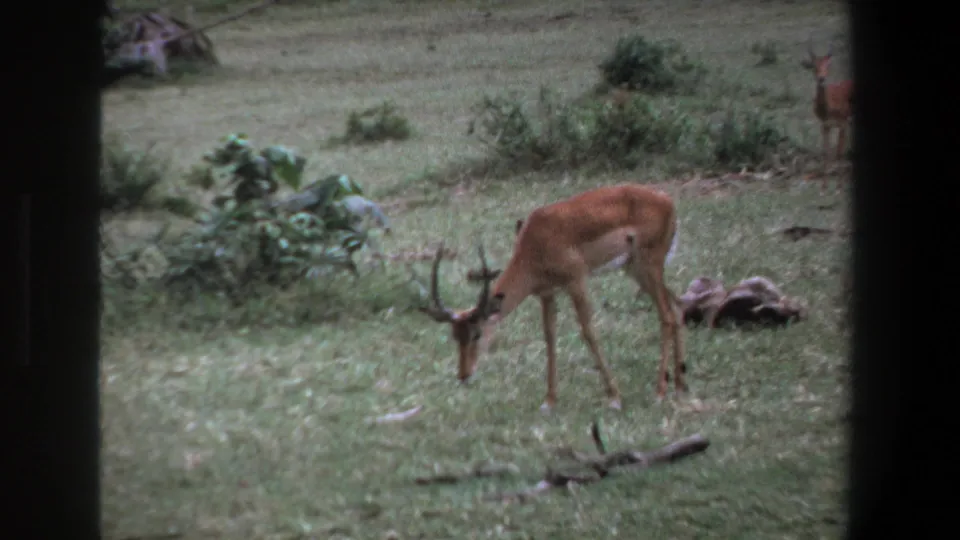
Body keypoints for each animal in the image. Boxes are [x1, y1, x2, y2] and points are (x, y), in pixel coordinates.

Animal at [419, 184, 686, 411]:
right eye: (455, 336)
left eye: (476, 334)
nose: (464, 375)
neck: (534, 243)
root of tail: (667, 201)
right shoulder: (547, 293)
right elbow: (549, 337)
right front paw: (549, 401)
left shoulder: (576, 281)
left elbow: (588, 333)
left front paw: (614, 398)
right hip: (636, 270)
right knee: (676, 306)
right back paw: (680, 385)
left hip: (648, 265)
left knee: (666, 315)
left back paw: (660, 392)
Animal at [801, 39, 854, 190]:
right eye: (814, 66)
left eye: (827, 66)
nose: (821, 78)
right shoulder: (825, 126)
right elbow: (826, 153)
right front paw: (824, 186)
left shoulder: (843, 124)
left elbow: (839, 153)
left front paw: (840, 185)